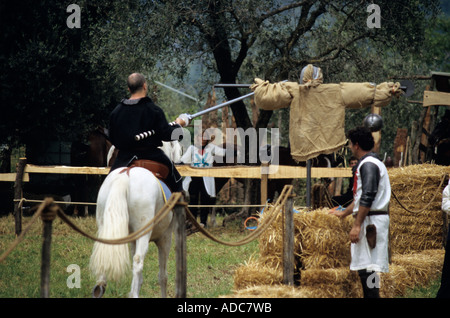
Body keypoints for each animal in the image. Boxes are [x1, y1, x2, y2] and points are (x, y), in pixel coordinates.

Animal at [89, 142, 181, 298]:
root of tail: (126, 175)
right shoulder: (165, 238)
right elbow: (163, 276)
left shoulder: (133, 239)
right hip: (145, 233)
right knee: (138, 261)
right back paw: (133, 294)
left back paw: (100, 287)